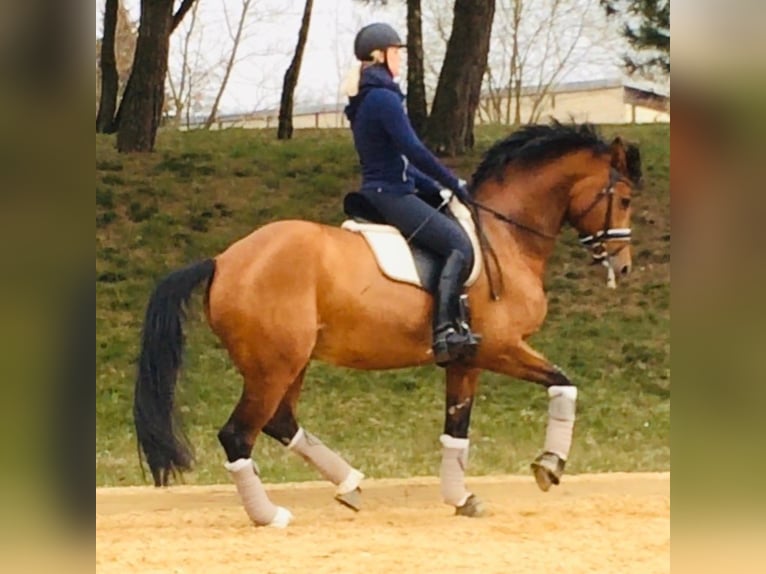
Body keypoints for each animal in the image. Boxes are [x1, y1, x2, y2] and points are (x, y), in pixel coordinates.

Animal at [134, 122, 640, 532]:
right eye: (625, 199)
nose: (624, 267)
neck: (505, 235)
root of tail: (222, 260)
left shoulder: (467, 360)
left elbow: (456, 429)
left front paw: (462, 498)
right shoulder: (499, 347)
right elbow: (564, 384)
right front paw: (549, 465)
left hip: (289, 363)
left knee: (280, 421)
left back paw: (350, 484)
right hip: (273, 366)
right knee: (238, 434)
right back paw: (270, 515)